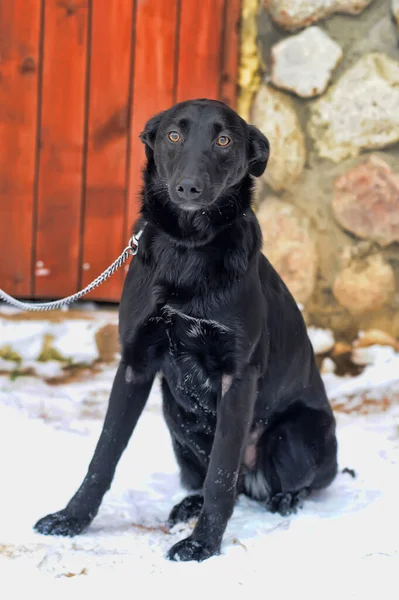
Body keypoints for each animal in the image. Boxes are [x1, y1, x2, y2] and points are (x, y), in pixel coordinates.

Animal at [35, 98, 338, 564]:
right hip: (175, 416)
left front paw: (202, 545)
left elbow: (221, 474)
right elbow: (104, 455)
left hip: (295, 436)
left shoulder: (238, 377)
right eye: (174, 135)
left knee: (271, 480)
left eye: (224, 139)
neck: (189, 250)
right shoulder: (135, 366)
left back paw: (284, 499)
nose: (189, 189)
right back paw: (188, 504)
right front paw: (72, 518)